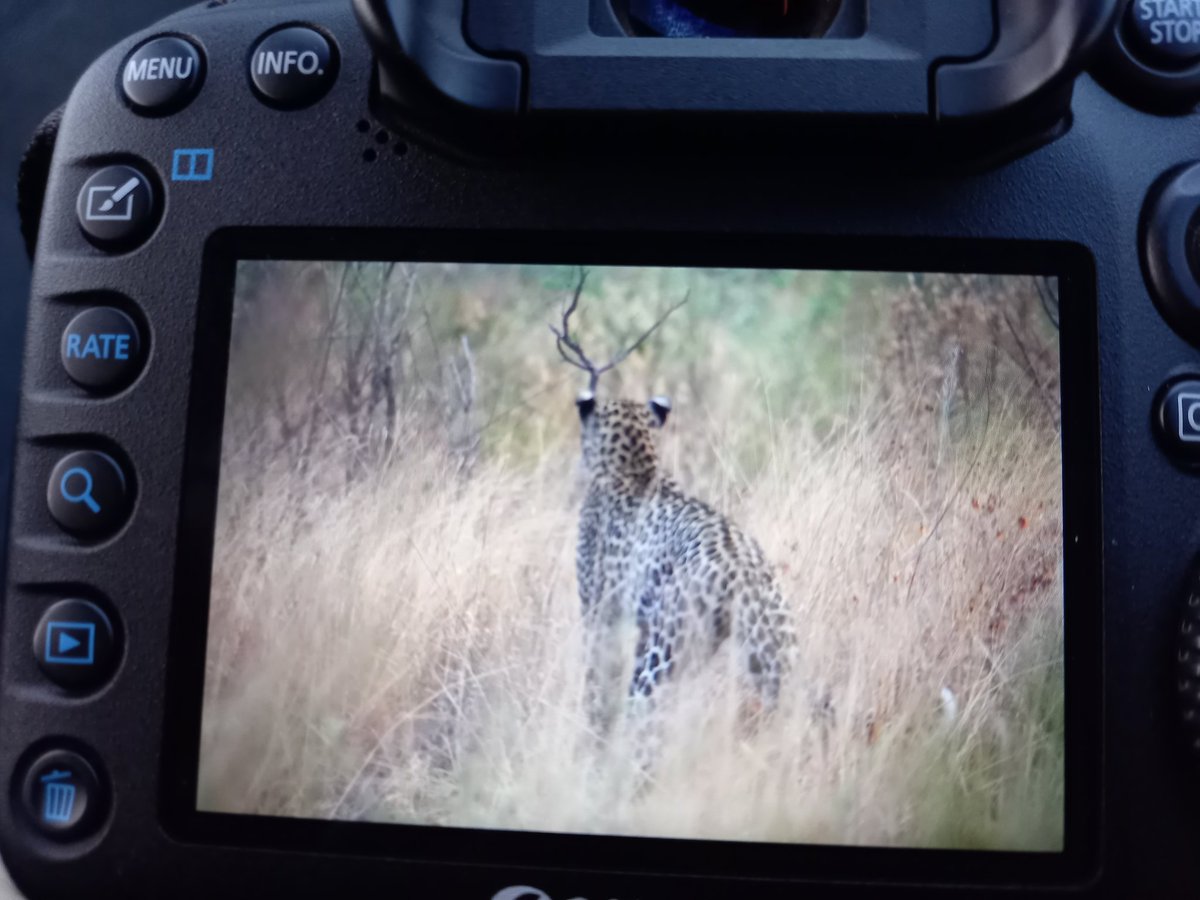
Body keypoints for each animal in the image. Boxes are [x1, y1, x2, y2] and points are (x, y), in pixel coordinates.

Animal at [573, 391, 796, 736]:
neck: (635, 464)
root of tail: (743, 571)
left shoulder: (599, 612)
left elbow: (597, 677)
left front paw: (594, 724)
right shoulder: (640, 627)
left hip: (663, 655)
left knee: (645, 718)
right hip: (774, 648)